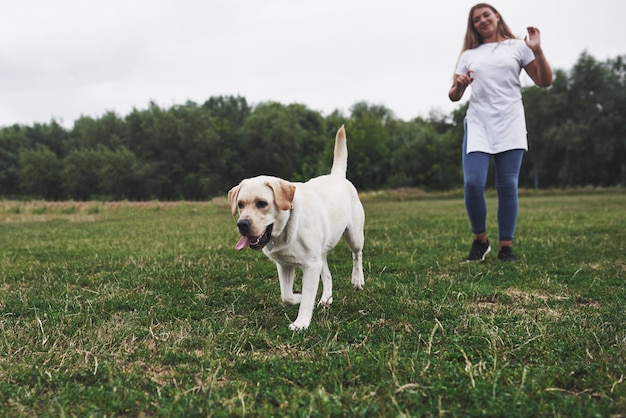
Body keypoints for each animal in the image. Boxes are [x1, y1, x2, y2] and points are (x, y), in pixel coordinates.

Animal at [227, 124, 364, 330]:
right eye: (240, 204)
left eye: (262, 203)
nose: (242, 224)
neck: (286, 228)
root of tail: (337, 176)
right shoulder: (284, 264)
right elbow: (286, 296)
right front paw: (297, 297)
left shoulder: (311, 265)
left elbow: (307, 297)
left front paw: (301, 323)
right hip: (320, 254)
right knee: (328, 275)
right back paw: (326, 298)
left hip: (354, 236)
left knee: (357, 255)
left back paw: (357, 280)